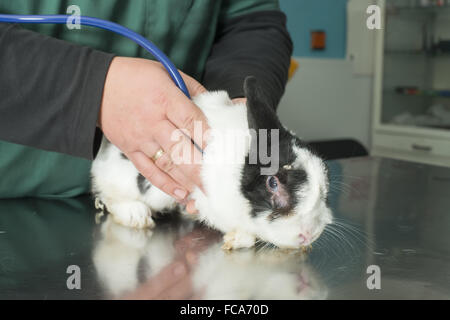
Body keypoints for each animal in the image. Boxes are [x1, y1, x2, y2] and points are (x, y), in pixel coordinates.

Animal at [91, 75, 332, 250]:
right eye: (272, 183)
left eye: (324, 182)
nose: (309, 235)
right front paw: (235, 240)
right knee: (109, 195)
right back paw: (136, 215)